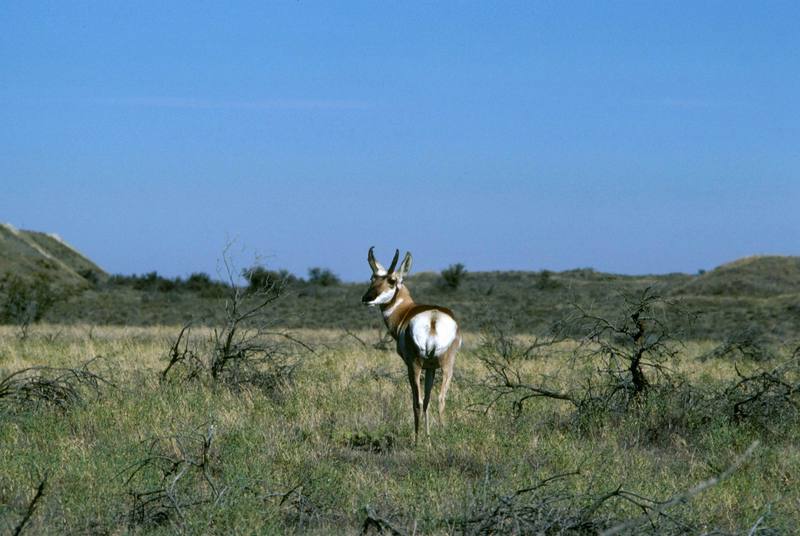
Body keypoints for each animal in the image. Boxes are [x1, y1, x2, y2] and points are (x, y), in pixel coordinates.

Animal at [362, 247, 462, 444]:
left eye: (392, 280)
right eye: (372, 278)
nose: (367, 298)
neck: (406, 311)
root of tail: (433, 318)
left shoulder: (412, 364)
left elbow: (420, 401)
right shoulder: (430, 368)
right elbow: (429, 400)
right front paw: (429, 439)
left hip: (415, 366)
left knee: (417, 401)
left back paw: (417, 442)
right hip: (447, 366)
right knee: (440, 399)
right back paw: (442, 438)